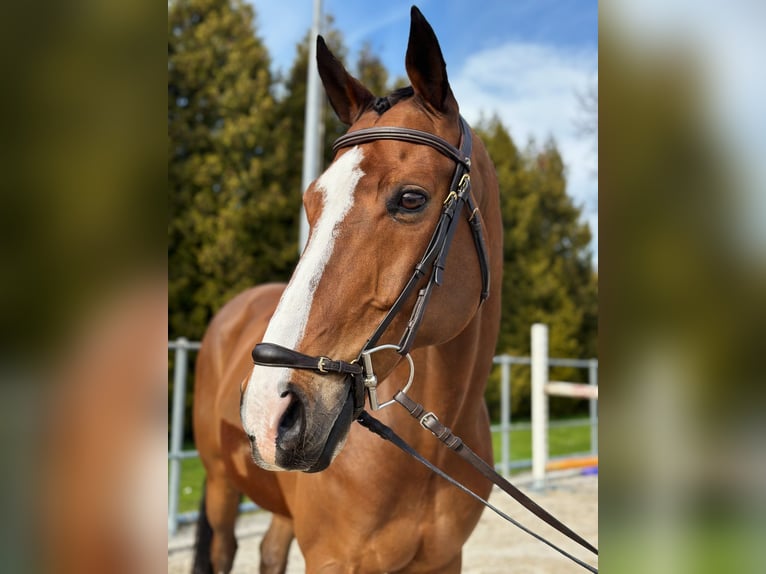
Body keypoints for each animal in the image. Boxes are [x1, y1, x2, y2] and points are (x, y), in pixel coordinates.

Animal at [192, 7, 503, 573]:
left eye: (411, 198)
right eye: (311, 201)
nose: (268, 409)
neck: (424, 454)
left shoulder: (445, 560)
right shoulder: (333, 559)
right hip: (222, 487)